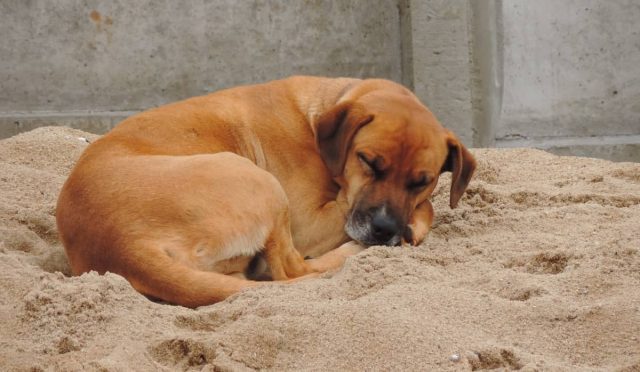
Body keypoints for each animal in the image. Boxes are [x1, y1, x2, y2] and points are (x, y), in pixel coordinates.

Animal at [56, 76, 476, 308]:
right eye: (369, 162)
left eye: (420, 180)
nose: (385, 229)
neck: (321, 111)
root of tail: (123, 247)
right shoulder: (312, 221)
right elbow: (428, 210)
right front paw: (414, 225)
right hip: (262, 185)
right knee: (293, 270)